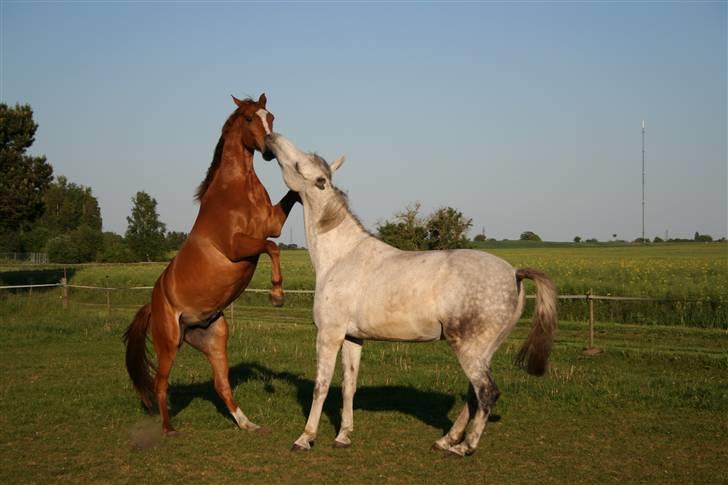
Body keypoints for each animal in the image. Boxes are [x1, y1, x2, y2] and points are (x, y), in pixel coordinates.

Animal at [122, 92, 298, 432]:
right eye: (249, 118)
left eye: (271, 116)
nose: (270, 151)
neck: (237, 191)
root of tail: (152, 305)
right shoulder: (237, 245)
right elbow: (272, 248)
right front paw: (277, 295)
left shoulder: (273, 224)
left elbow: (290, 204)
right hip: (169, 343)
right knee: (161, 384)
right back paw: (168, 429)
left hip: (214, 337)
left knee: (221, 384)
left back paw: (248, 424)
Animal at [268, 133, 556, 458]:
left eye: (298, 163)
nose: (271, 137)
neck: (341, 256)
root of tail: (514, 273)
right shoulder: (353, 337)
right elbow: (348, 385)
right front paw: (343, 435)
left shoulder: (329, 335)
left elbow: (322, 385)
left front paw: (305, 438)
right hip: (484, 351)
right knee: (473, 396)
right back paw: (446, 440)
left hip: (469, 349)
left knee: (486, 393)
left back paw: (464, 447)